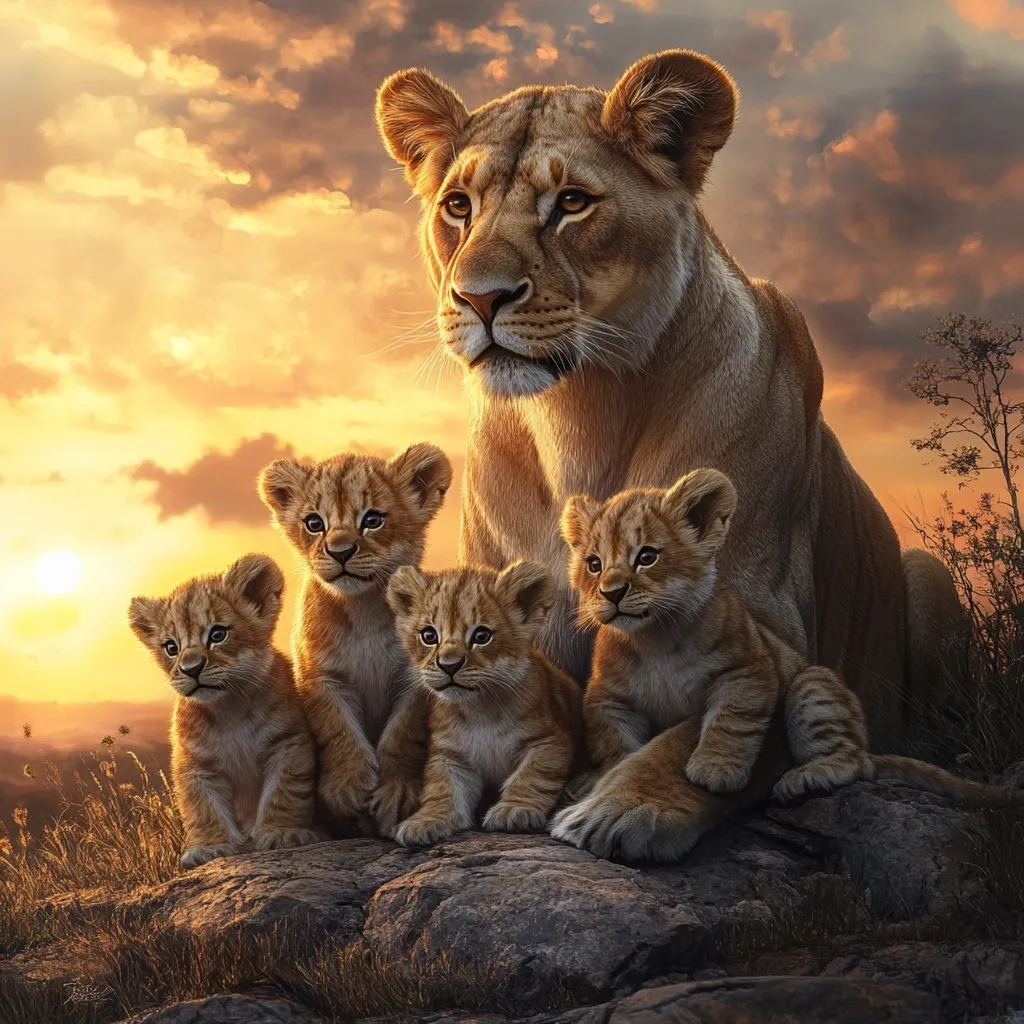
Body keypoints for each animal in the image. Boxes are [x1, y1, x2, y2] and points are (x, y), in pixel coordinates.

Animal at [373, 48, 966, 772]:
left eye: (571, 203)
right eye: (458, 206)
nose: (479, 298)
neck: (579, 415)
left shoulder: (756, 622)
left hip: (929, 575)